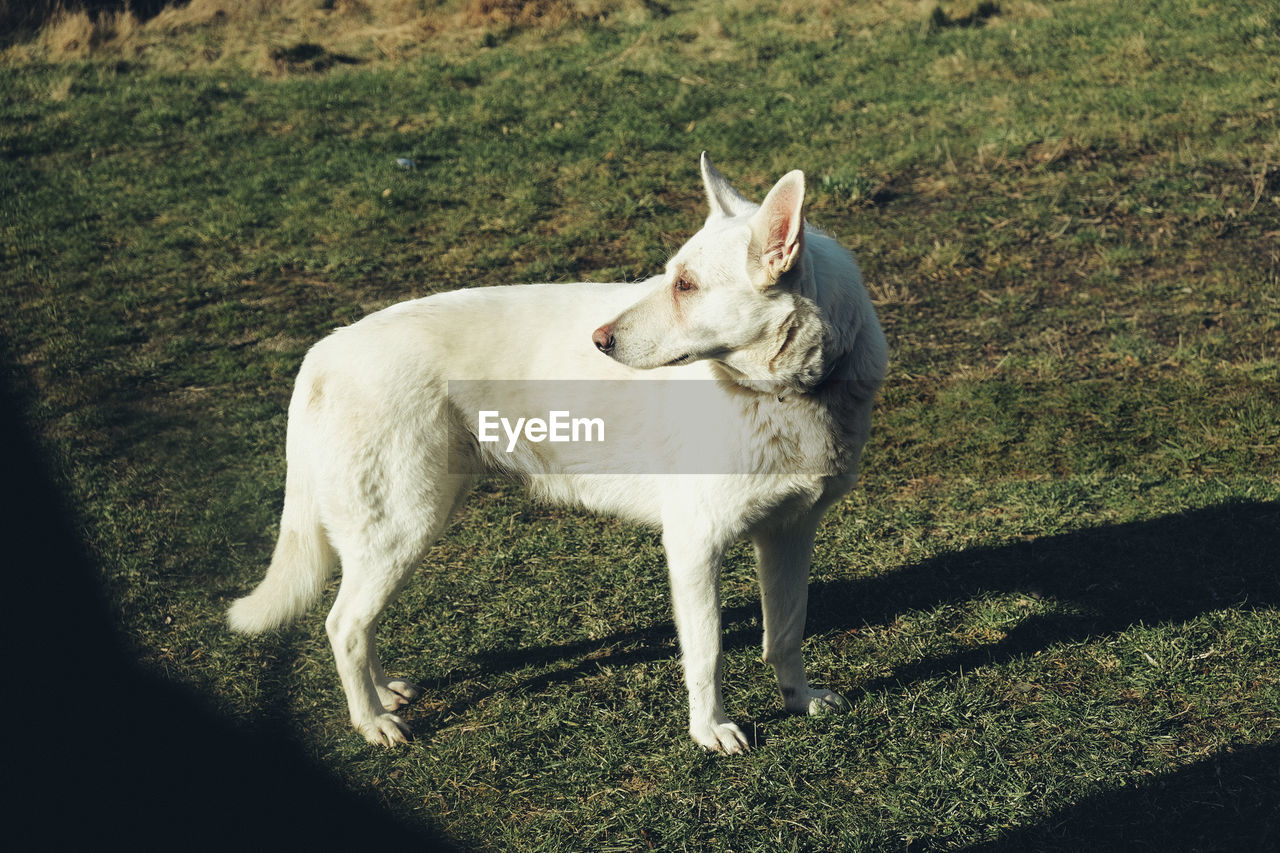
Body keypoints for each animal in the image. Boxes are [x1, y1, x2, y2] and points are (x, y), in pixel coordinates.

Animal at [230, 154, 885, 753]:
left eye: (685, 286)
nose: (599, 341)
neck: (783, 393)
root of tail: (324, 352)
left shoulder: (790, 534)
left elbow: (787, 633)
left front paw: (798, 700)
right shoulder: (695, 546)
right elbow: (708, 653)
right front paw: (710, 732)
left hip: (399, 534)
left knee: (358, 623)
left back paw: (384, 691)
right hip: (403, 528)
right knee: (342, 624)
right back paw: (371, 722)